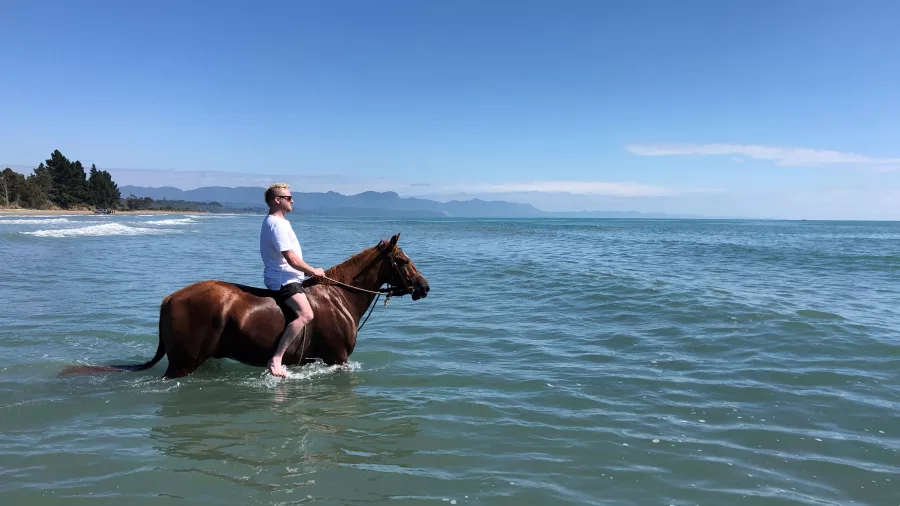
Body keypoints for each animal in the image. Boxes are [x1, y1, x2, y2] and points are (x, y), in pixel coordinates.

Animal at [60, 233, 429, 379]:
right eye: (402, 260)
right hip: (181, 364)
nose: (424, 287)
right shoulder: (337, 359)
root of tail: (170, 297)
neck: (339, 297)